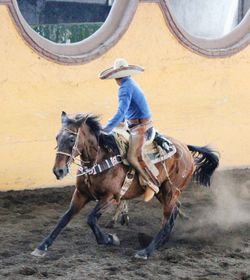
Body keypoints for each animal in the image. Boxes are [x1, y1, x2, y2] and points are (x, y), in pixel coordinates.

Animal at [31, 112, 219, 260]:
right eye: (57, 137)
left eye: (71, 139)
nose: (59, 171)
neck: (100, 158)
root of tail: (185, 148)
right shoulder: (80, 194)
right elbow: (64, 219)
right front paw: (41, 247)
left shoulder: (111, 197)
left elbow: (91, 218)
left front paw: (110, 239)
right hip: (162, 191)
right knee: (174, 212)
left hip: (171, 191)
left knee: (166, 221)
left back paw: (146, 251)